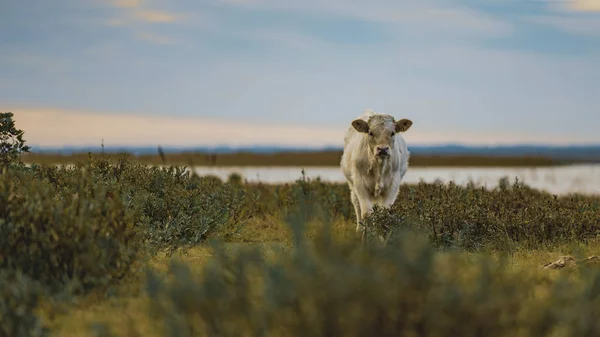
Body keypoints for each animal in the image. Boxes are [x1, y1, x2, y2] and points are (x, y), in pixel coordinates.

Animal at [342, 108, 412, 239]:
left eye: (393, 133)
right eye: (370, 133)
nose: (383, 149)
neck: (379, 167)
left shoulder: (392, 186)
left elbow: (384, 214)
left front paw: (382, 240)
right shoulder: (360, 184)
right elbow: (367, 214)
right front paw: (365, 239)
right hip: (352, 186)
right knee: (357, 206)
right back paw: (359, 230)